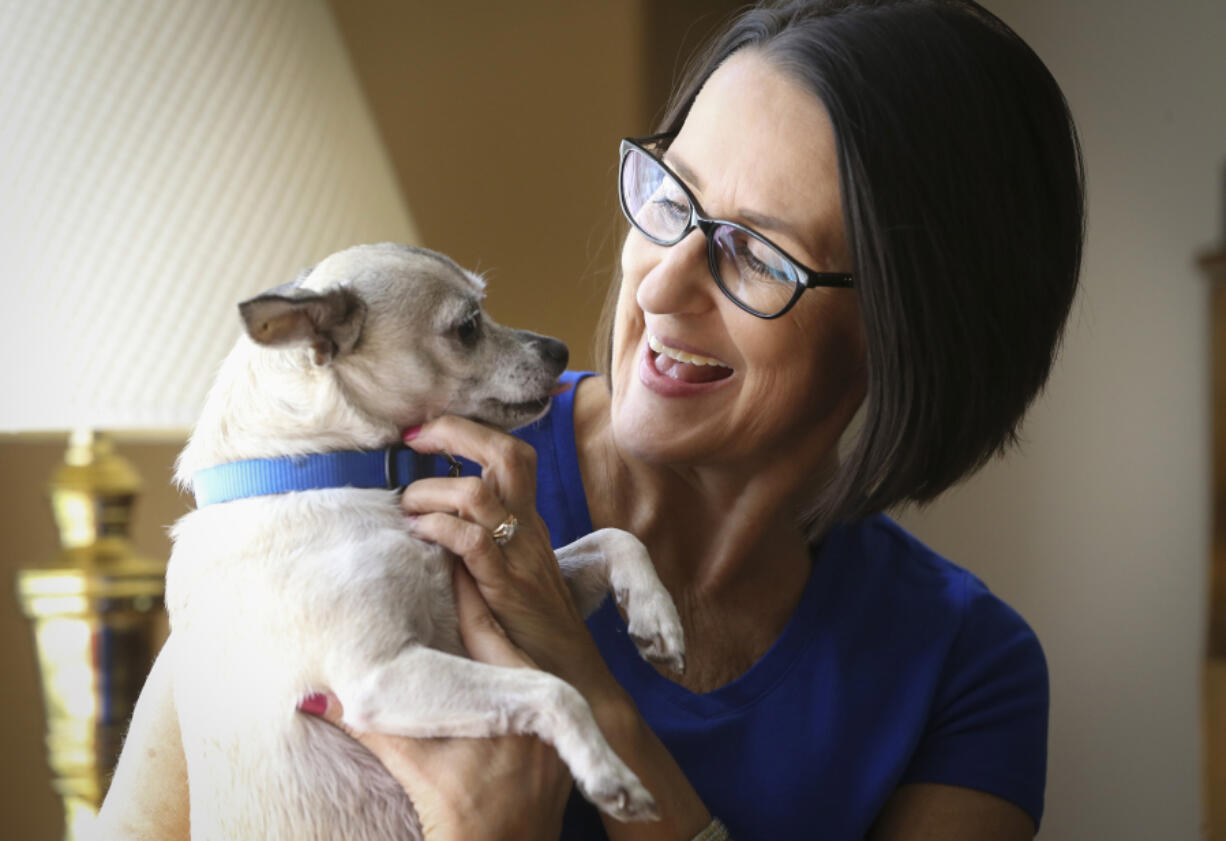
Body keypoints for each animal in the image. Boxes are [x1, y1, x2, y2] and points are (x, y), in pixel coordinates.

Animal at [150, 243, 681, 841]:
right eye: (468, 327)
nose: (560, 349)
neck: (330, 471)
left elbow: (617, 537)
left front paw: (658, 619)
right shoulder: (382, 677)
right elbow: (555, 690)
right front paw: (608, 771)